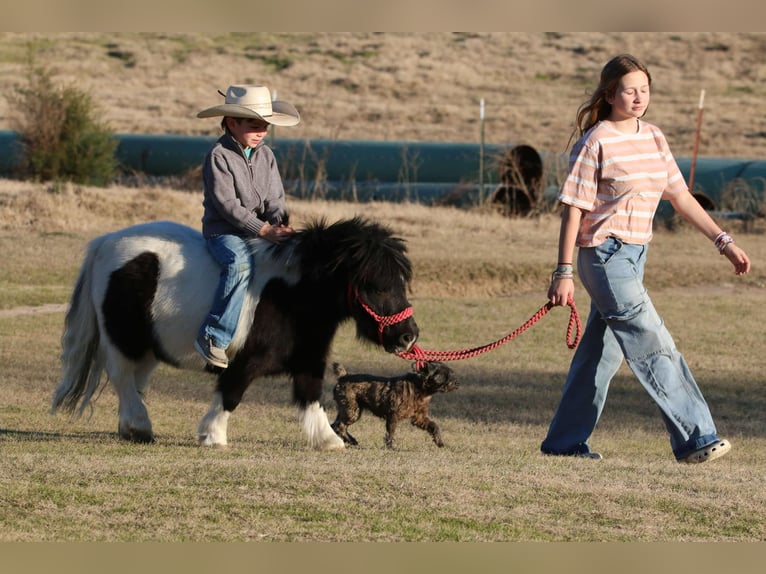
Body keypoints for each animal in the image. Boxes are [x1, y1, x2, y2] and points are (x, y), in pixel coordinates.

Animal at [51, 216, 420, 450]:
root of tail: (105, 244)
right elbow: (231, 393)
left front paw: (329, 440)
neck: (290, 296)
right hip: (123, 339)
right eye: (377, 286)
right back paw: (139, 426)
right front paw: (212, 435)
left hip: (148, 347)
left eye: (402, 282)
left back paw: (131, 427)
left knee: (134, 382)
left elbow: (310, 396)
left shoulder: (308, 358)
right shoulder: (245, 361)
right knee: (122, 377)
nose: (408, 336)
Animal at [332, 360, 462, 450]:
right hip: (352, 411)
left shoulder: (419, 418)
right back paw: (348, 441)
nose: (457, 383)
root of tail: (343, 376)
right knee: (340, 426)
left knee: (335, 425)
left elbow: (434, 426)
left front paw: (439, 441)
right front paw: (392, 447)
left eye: (451, 373)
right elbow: (391, 432)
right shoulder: (393, 415)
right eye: (444, 376)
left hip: (347, 410)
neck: (419, 388)